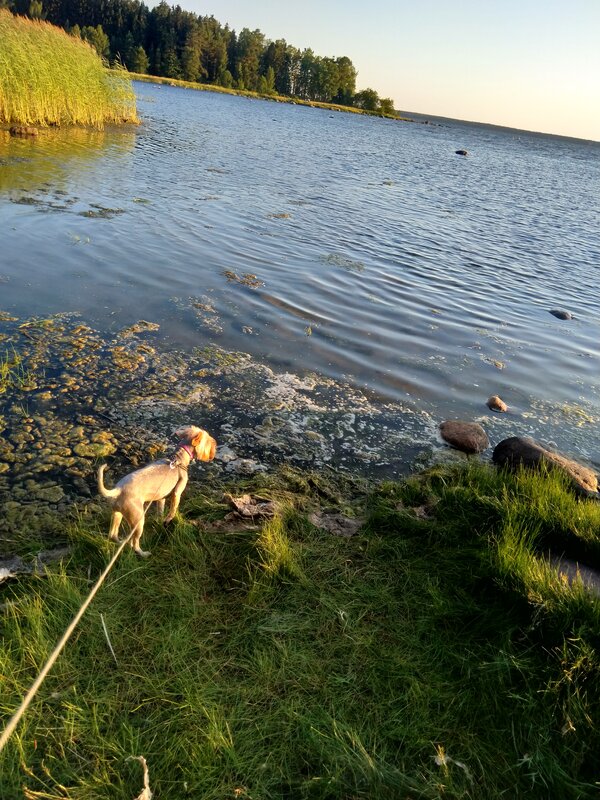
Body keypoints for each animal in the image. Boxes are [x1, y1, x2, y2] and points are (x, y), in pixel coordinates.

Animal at [95, 424, 214, 556]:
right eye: (209, 441)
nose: (214, 448)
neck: (178, 459)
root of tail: (118, 489)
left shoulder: (161, 498)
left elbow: (160, 511)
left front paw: (160, 520)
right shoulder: (177, 493)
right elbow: (173, 509)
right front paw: (168, 520)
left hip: (117, 514)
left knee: (113, 534)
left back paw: (121, 542)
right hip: (138, 519)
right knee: (134, 543)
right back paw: (143, 553)